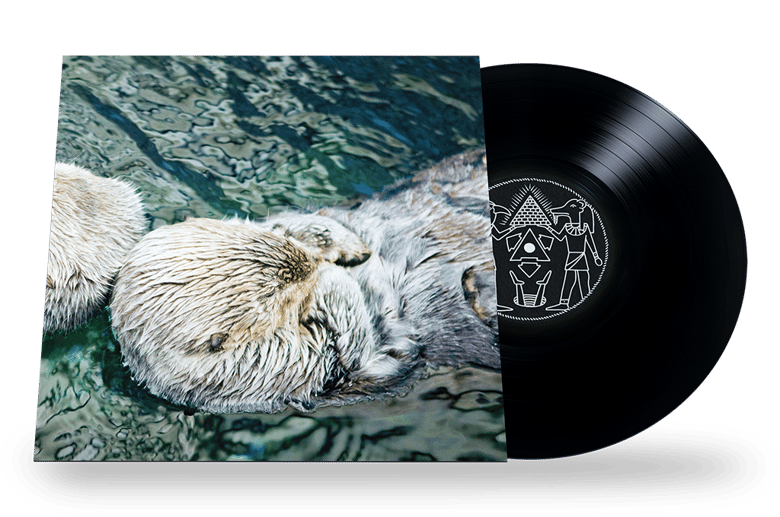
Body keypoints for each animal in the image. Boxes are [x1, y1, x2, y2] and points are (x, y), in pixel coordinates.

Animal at [109, 150, 498, 414]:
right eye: (278, 297)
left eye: (279, 241)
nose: (314, 265)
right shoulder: (287, 369)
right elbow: (355, 346)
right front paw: (332, 281)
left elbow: (299, 219)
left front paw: (343, 246)